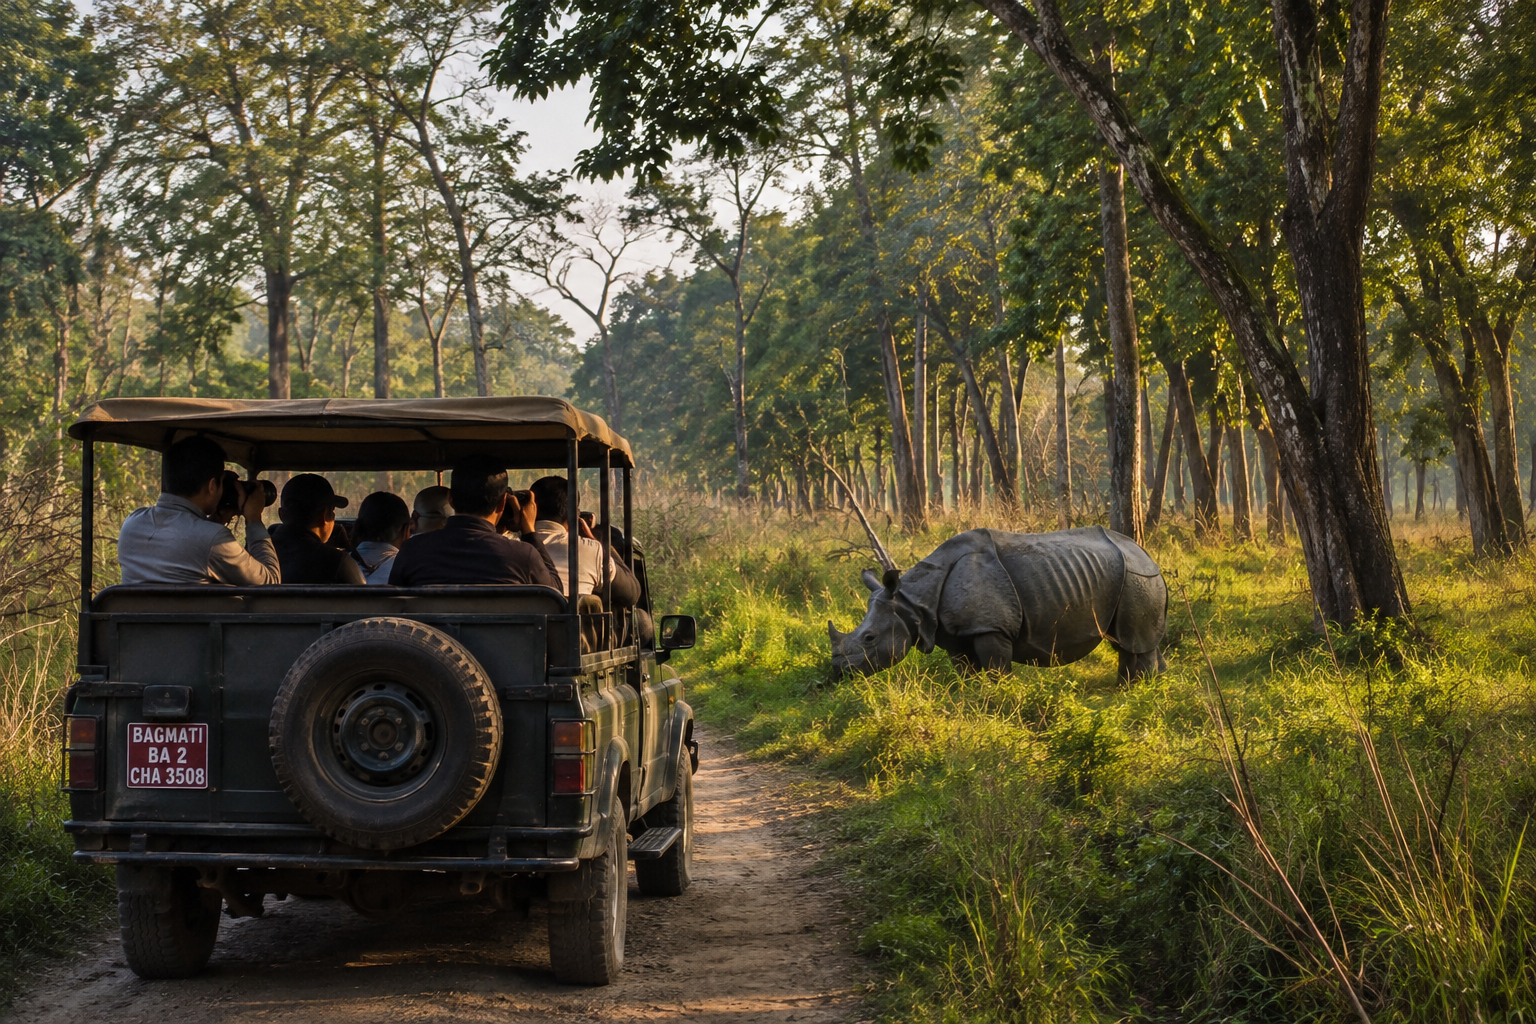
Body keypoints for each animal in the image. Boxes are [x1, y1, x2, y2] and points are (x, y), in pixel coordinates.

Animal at [828, 526, 1168, 681]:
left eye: (869, 638)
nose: (839, 672)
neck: (912, 600)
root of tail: (1149, 555)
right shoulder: (957, 633)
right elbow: (965, 671)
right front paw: (969, 698)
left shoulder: (990, 628)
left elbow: (996, 669)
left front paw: (998, 696)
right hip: (1128, 577)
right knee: (1128, 642)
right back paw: (1135, 687)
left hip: (1138, 578)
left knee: (1133, 641)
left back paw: (1135, 690)